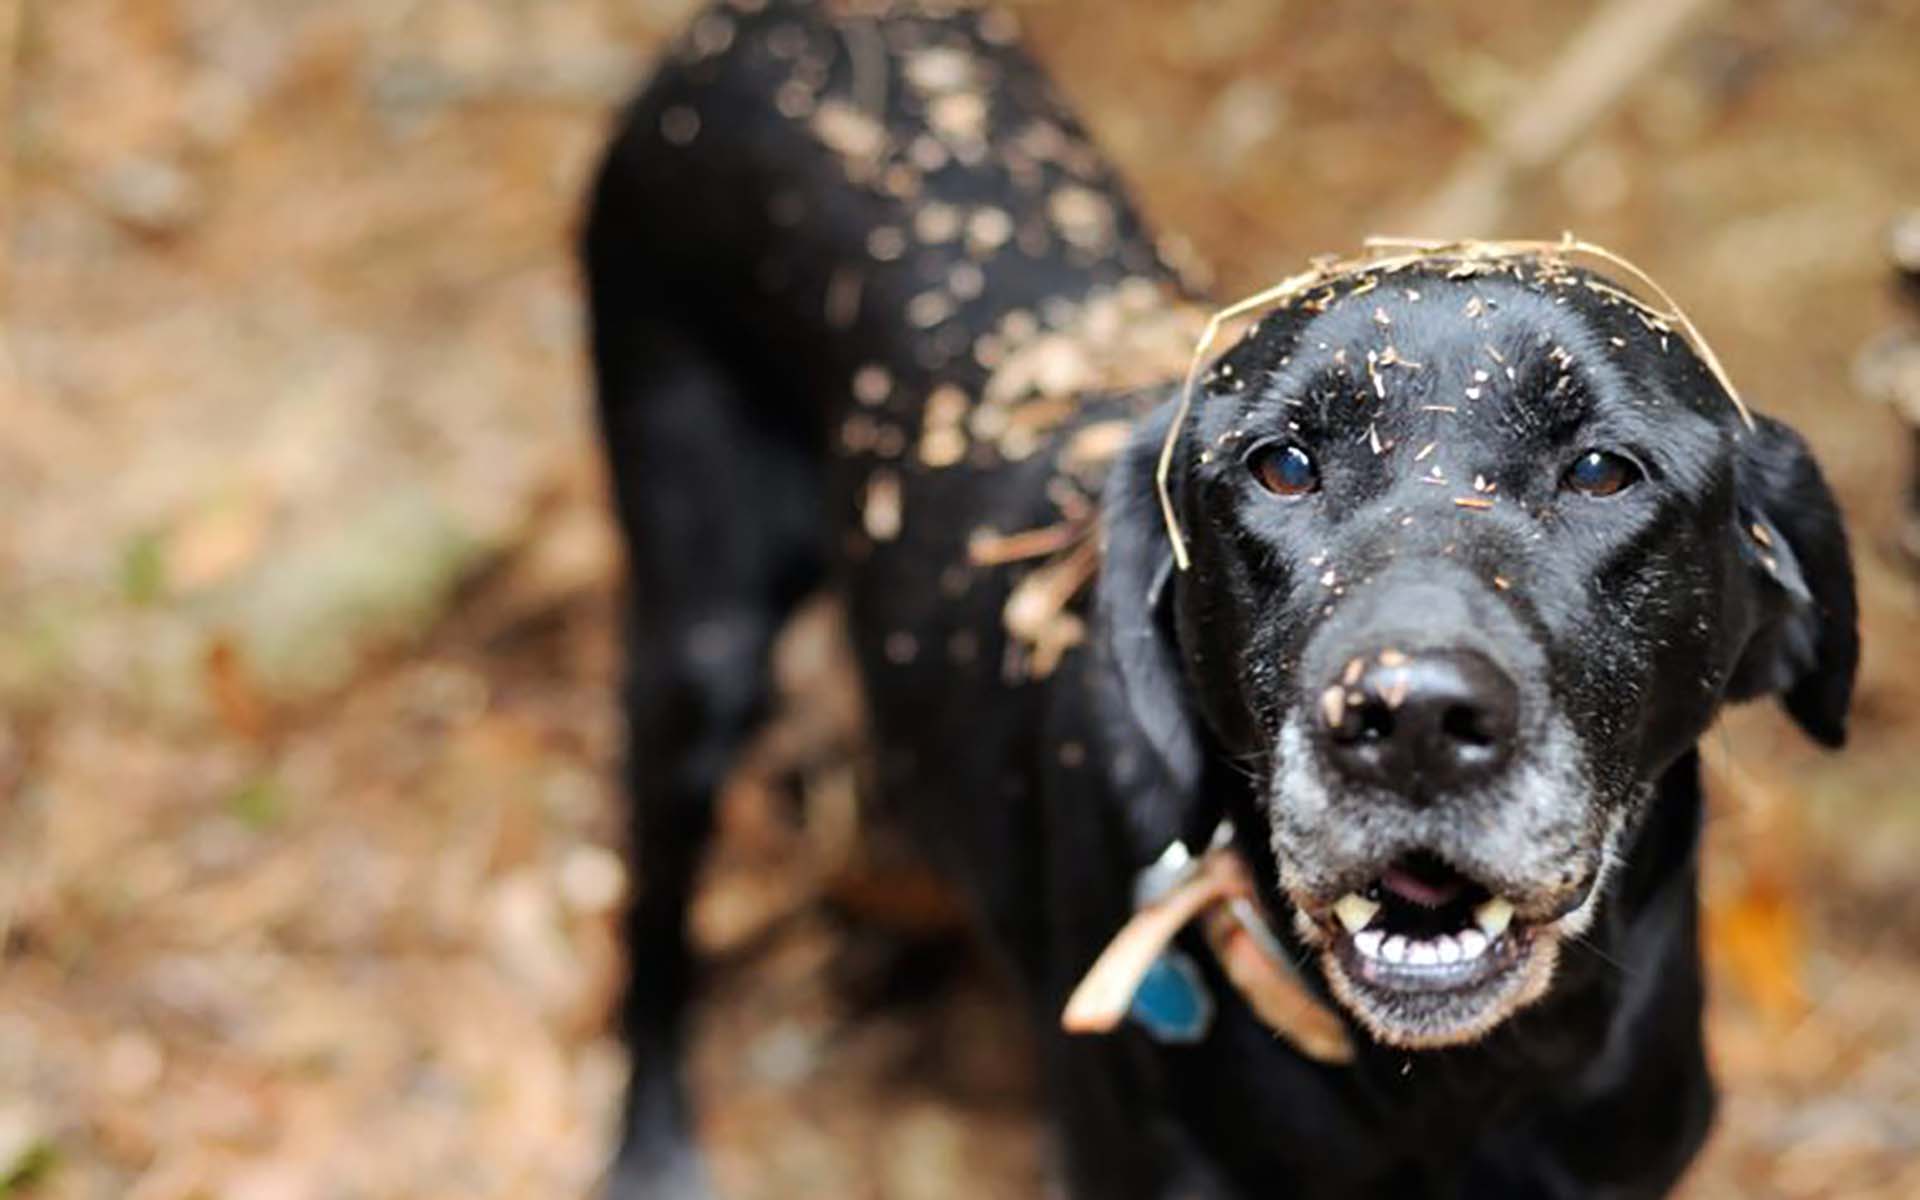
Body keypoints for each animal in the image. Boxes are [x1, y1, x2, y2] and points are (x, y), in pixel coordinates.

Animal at [587, 4, 1858, 1190]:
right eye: (1280, 466)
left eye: (1601, 471)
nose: (1411, 723)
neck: (1448, 1096)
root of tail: (776, 21)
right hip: (696, 644)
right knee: (650, 926)